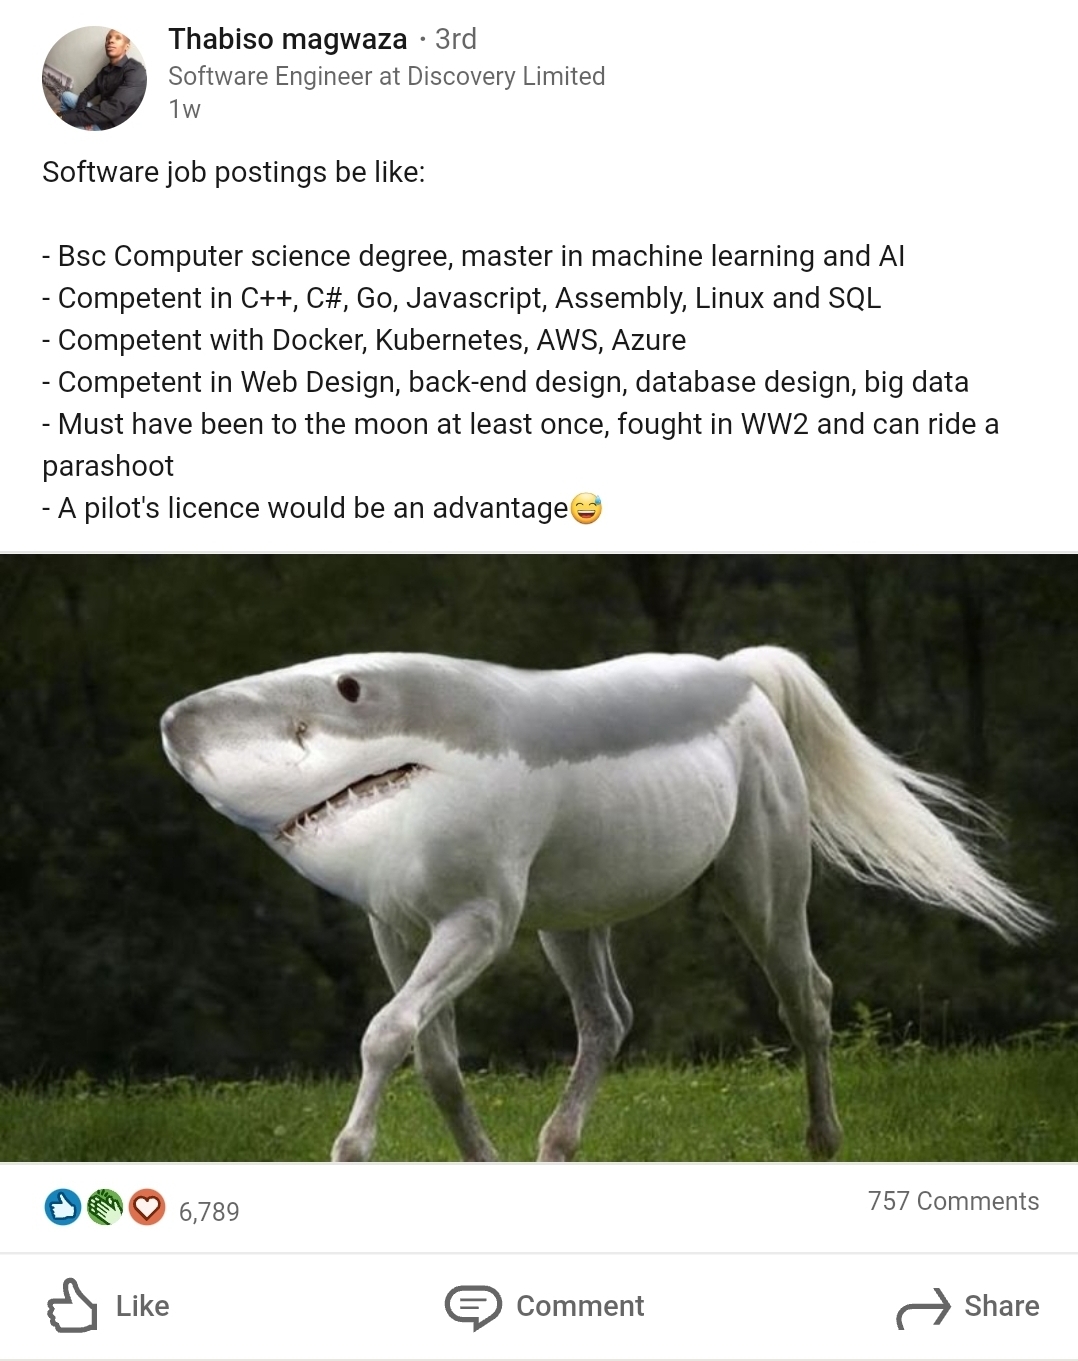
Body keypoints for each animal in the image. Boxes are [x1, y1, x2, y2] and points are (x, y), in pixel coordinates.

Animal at [160, 646, 1045, 1161]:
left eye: (349, 688)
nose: (178, 728)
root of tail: (737, 669)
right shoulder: (395, 927)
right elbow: (433, 1057)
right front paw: (482, 1164)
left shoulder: (479, 922)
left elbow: (387, 1030)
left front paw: (351, 1148)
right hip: (572, 922)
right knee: (608, 1019)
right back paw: (556, 1146)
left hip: (760, 886)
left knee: (809, 999)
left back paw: (823, 1142)